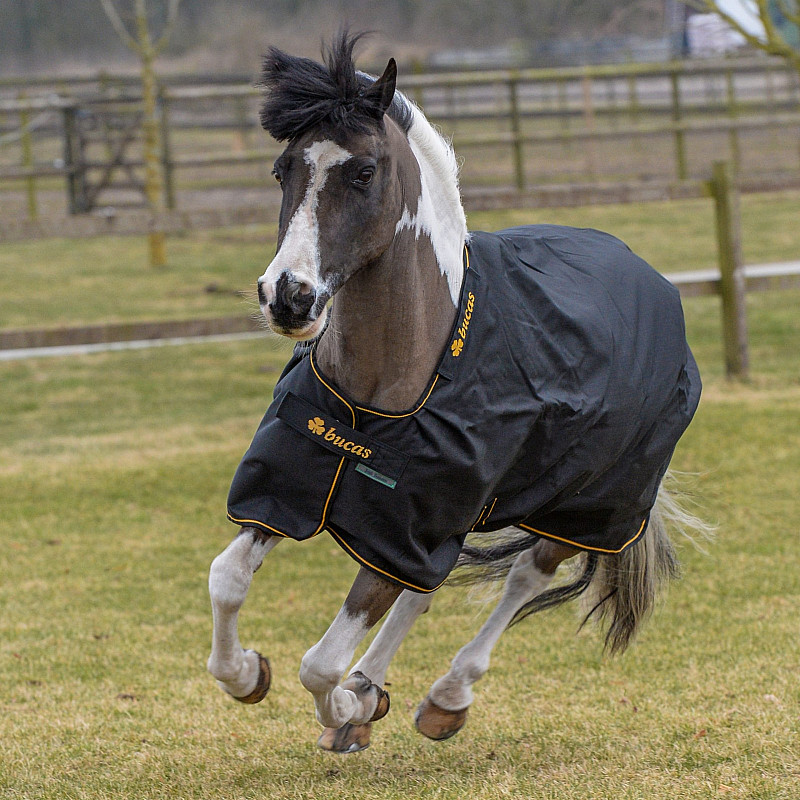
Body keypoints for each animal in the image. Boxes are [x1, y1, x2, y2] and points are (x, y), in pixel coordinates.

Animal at [205, 32, 700, 756]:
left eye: (364, 173)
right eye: (282, 169)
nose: (288, 297)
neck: (376, 401)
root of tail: (649, 275)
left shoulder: (401, 532)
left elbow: (319, 662)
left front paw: (342, 709)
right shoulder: (296, 495)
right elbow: (229, 579)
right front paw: (249, 675)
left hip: (586, 505)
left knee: (525, 577)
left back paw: (444, 697)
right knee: (426, 591)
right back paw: (373, 691)